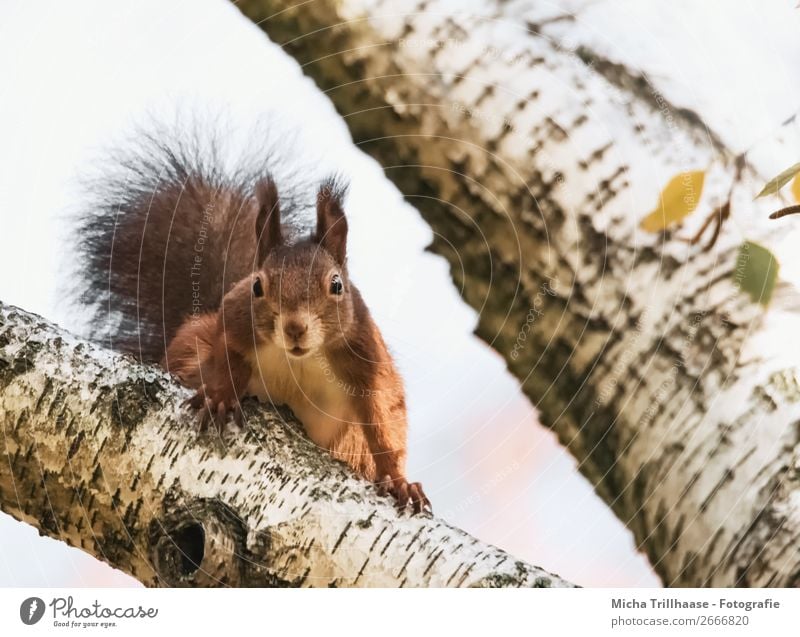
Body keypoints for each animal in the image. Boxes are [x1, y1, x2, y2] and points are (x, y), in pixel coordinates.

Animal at [78, 125, 432, 512]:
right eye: (257, 286)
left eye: (336, 285)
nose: (294, 328)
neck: (300, 360)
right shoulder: (234, 318)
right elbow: (227, 354)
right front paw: (220, 395)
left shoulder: (366, 356)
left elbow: (381, 422)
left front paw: (398, 481)